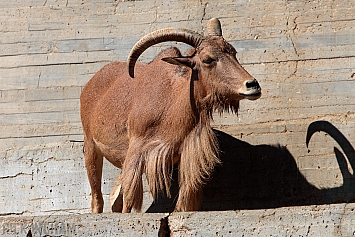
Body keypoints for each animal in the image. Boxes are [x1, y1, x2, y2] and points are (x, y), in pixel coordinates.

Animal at [80, 18, 262, 213]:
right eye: (207, 59)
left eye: (233, 52)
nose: (252, 85)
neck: (172, 102)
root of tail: (91, 83)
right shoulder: (137, 149)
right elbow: (128, 199)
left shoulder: (185, 154)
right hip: (90, 146)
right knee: (97, 199)